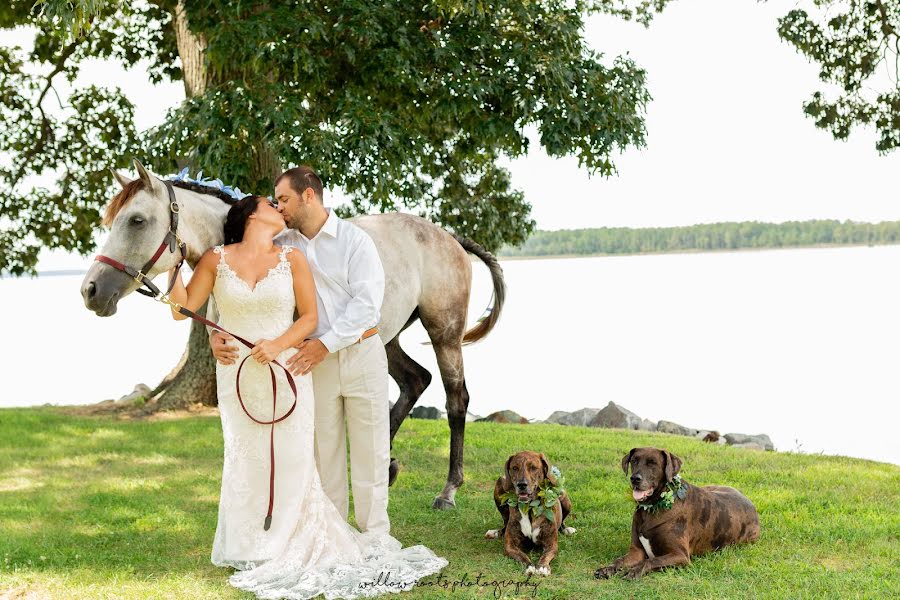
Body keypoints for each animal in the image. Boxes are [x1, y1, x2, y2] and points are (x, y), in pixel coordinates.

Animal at [80, 157, 502, 508]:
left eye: (136, 220)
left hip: (444, 335)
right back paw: (386, 467)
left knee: (456, 400)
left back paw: (447, 490)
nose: (90, 291)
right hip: (385, 337)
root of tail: (449, 237)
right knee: (415, 381)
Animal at [596, 446, 760, 580]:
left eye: (652, 463)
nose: (635, 478)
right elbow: (620, 560)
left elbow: (651, 560)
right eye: (634, 461)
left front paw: (634, 571)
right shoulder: (636, 551)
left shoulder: (680, 555)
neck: (652, 507)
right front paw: (607, 568)